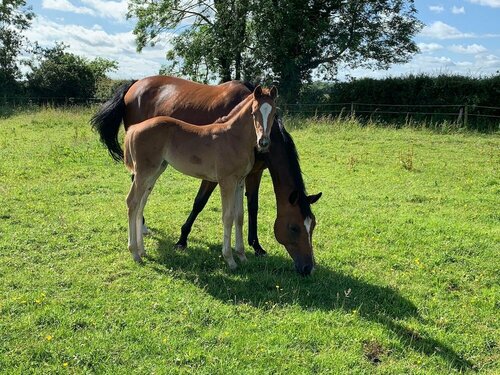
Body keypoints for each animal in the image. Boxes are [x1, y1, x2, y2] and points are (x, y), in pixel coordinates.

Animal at [92, 76, 322, 276]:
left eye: (274, 113)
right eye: (294, 228)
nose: (308, 268)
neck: (232, 136)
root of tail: (134, 128)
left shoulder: (241, 180)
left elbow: (240, 215)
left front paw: (243, 254)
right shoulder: (224, 181)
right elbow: (224, 215)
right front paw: (229, 259)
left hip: (155, 171)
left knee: (140, 203)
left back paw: (142, 249)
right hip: (144, 172)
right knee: (132, 202)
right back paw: (135, 253)